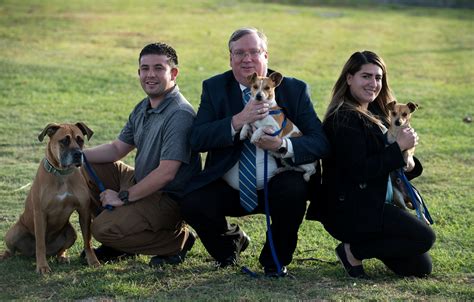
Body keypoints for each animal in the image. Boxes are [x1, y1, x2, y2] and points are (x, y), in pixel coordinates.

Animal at [0, 122, 100, 274]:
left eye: (80, 140)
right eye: (64, 141)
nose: (78, 154)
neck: (62, 174)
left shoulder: (84, 211)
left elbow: (87, 241)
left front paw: (93, 261)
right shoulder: (40, 214)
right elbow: (40, 244)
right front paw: (42, 266)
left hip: (71, 233)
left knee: (61, 249)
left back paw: (62, 257)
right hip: (13, 233)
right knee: (12, 250)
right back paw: (5, 255)